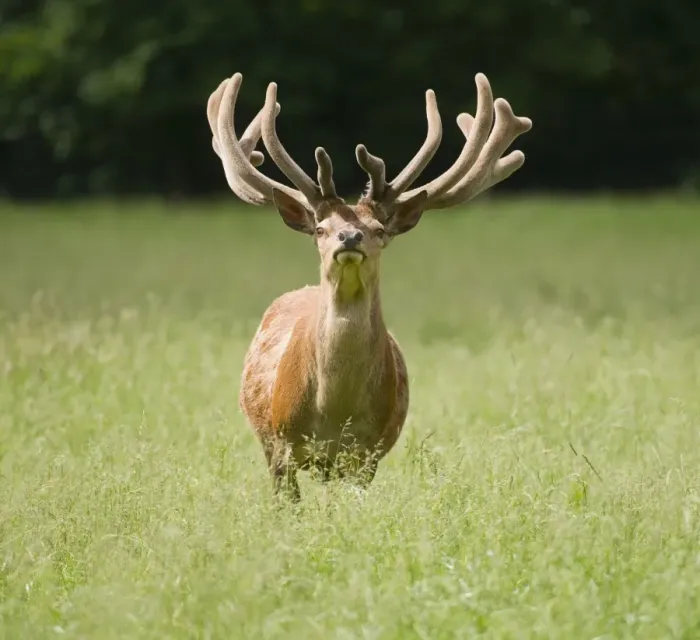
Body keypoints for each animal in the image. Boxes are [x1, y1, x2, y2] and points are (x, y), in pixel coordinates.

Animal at [206, 72, 531, 500]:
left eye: (378, 229)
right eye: (320, 229)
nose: (349, 237)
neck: (333, 413)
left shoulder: (365, 454)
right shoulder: (280, 445)